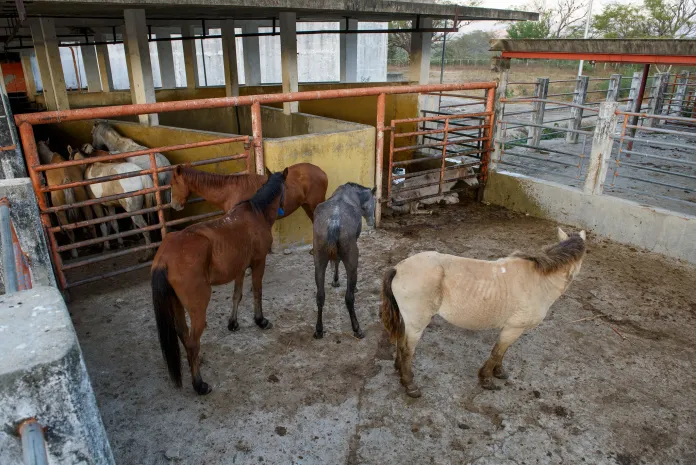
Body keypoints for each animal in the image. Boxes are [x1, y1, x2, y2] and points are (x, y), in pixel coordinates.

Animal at [151, 169, 288, 395]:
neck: (256, 213)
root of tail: (164, 257)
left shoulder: (240, 268)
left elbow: (237, 295)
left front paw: (233, 323)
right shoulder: (258, 263)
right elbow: (257, 291)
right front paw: (260, 320)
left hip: (176, 304)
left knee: (184, 335)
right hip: (198, 306)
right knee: (192, 342)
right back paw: (199, 384)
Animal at [312, 183, 376, 340]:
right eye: (374, 201)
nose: (372, 221)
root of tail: (334, 221)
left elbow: (336, 261)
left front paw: (335, 280)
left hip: (319, 262)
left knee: (320, 296)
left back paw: (319, 330)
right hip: (352, 262)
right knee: (349, 298)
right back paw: (357, 329)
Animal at [381, 228, 587, 398]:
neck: (539, 281)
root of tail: (398, 268)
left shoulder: (510, 328)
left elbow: (502, 352)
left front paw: (499, 372)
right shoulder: (514, 328)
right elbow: (497, 352)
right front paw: (486, 379)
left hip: (407, 320)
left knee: (400, 341)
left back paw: (400, 370)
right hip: (417, 323)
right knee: (407, 350)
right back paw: (410, 385)